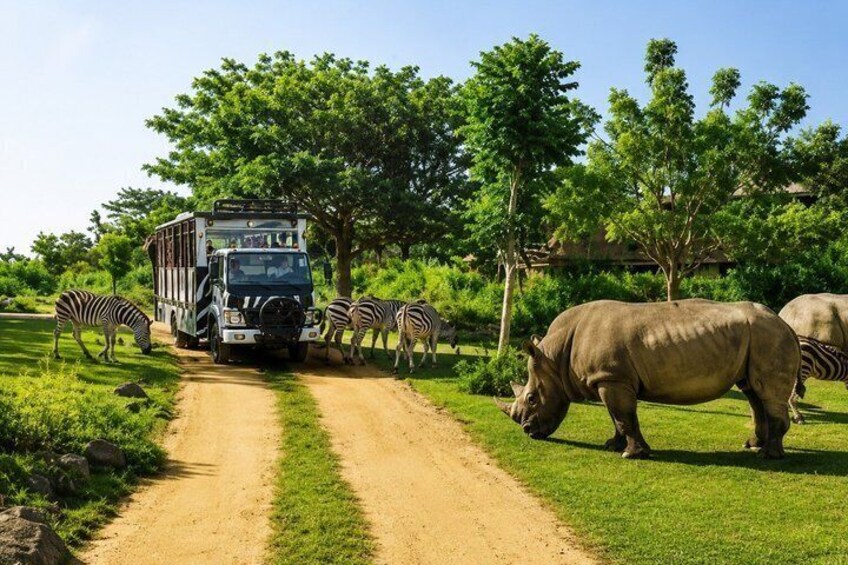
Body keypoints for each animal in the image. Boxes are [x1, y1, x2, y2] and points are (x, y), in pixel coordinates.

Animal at [495, 299, 799, 459]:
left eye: (532, 398)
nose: (528, 431)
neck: (556, 358)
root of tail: (786, 325)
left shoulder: (612, 378)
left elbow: (623, 416)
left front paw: (631, 454)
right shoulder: (610, 379)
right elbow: (615, 417)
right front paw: (612, 445)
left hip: (768, 336)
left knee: (766, 393)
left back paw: (768, 455)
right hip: (758, 339)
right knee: (753, 393)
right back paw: (752, 445)